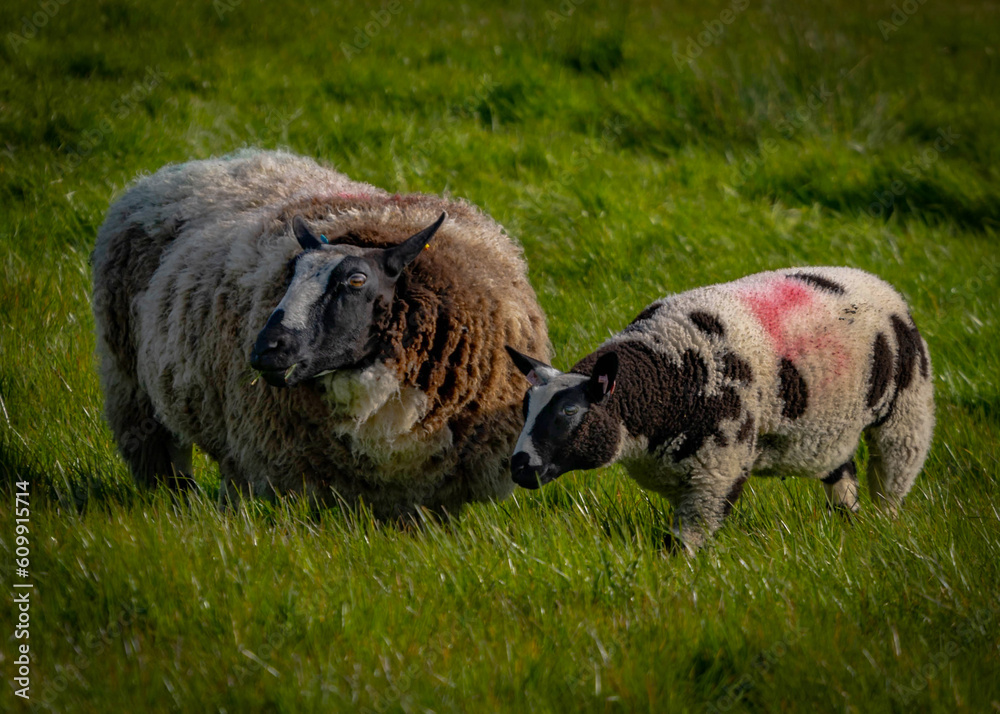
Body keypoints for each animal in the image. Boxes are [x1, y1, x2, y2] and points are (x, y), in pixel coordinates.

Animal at [90, 149, 552, 516]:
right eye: (290, 274)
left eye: (356, 281)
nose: (266, 350)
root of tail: (192, 166)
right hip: (133, 389)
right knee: (169, 465)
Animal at [508, 264, 936, 548]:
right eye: (526, 408)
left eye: (569, 412)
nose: (520, 467)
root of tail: (872, 279)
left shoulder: (719, 467)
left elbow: (685, 542)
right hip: (829, 427)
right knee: (842, 474)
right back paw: (848, 523)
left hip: (907, 408)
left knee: (893, 475)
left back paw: (881, 526)